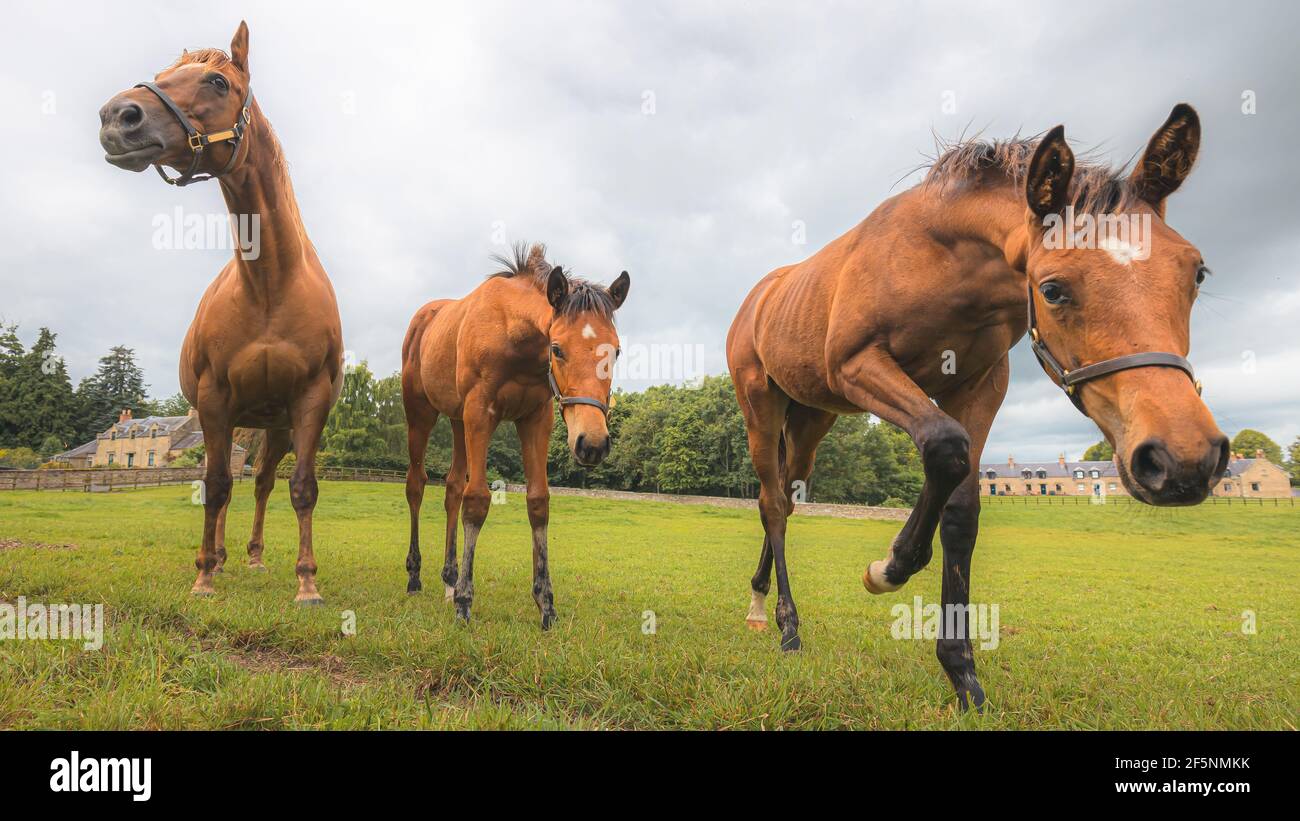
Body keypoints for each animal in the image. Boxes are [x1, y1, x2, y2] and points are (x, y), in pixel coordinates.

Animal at [98, 21, 344, 604]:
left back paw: (252, 557)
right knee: (228, 485)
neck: (271, 285)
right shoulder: (214, 400)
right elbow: (213, 486)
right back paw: (222, 556)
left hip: (272, 427)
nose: (118, 116)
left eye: (217, 81)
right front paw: (204, 575)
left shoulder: (309, 403)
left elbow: (301, 488)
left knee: (261, 484)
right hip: (234, 420)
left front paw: (307, 583)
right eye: (163, 74)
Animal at [401, 243, 630, 627]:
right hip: (420, 414)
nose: (593, 444)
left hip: (457, 421)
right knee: (416, 485)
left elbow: (537, 503)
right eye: (557, 348)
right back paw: (416, 575)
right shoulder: (481, 413)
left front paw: (546, 603)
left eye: (615, 351)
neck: (512, 331)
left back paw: (448, 579)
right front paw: (465, 602)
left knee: (452, 488)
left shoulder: (536, 418)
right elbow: (477, 500)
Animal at [726, 104, 1226, 709]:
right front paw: (889, 567)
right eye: (1053, 289)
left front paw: (962, 672)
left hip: (810, 420)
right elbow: (946, 447)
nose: (1184, 460)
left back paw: (761, 603)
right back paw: (785, 625)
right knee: (773, 505)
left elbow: (961, 510)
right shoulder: (858, 365)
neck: (940, 257)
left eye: (1196, 273)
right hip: (761, 407)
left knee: (785, 497)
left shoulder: (980, 387)